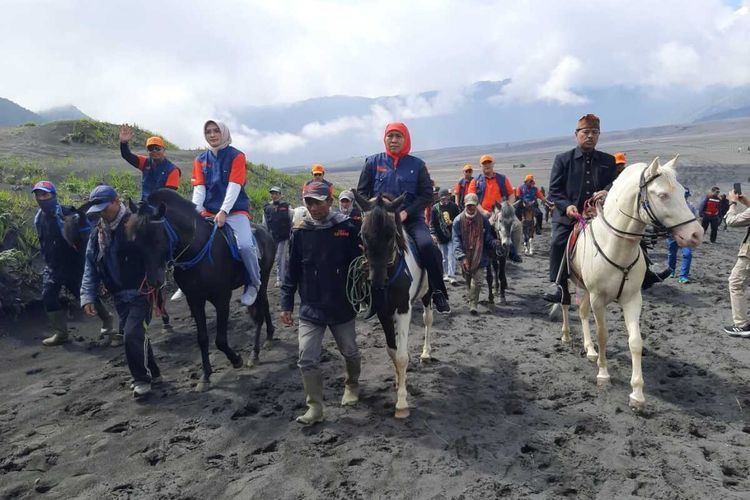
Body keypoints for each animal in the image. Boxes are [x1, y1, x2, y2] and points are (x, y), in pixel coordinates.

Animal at [125, 188, 278, 390]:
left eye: (157, 238)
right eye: (135, 240)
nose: (154, 281)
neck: (197, 249)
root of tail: (264, 231)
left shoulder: (222, 297)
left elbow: (220, 340)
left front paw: (236, 359)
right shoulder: (194, 299)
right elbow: (202, 338)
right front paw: (205, 376)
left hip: (263, 277)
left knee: (259, 313)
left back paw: (255, 352)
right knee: (265, 305)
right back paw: (269, 337)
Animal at [352, 189, 434, 420]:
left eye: (391, 235)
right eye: (363, 235)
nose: (377, 281)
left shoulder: (404, 310)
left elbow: (402, 356)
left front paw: (402, 403)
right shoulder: (383, 312)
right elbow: (392, 351)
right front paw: (398, 381)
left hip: (428, 295)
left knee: (427, 319)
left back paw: (426, 353)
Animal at [564, 157, 704, 410]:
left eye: (683, 192)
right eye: (662, 195)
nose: (696, 234)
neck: (616, 248)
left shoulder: (632, 299)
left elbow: (636, 342)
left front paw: (637, 394)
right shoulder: (598, 299)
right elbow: (603, 334)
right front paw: (603, 375)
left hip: (585, 289)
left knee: (582, 312)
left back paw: (589, 350)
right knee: (564, 305)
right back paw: (566, 335)